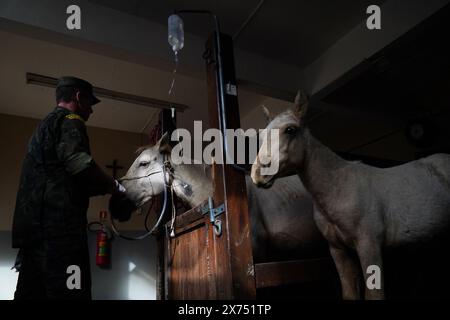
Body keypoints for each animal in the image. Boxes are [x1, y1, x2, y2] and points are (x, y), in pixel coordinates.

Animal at [251, 90, 450, 300]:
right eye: (262, 135)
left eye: (290, 129)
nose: (258, 174)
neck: (339, 187)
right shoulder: (339, 251)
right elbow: (349, 292)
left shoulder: (369, 246)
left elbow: (375, 295)